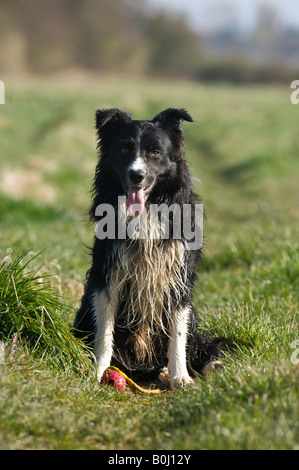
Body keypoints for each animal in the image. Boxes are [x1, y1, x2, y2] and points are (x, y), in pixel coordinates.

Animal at [74, 108, 221, 388]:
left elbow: (177, 332)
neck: (150, 207)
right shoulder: (107, 273)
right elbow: (104, 330)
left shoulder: (179, 273)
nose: (136, 175)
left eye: (155, 152)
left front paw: (180, 376)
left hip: (193, 317)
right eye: (123, 149)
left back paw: (199, 367)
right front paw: (98, 371)